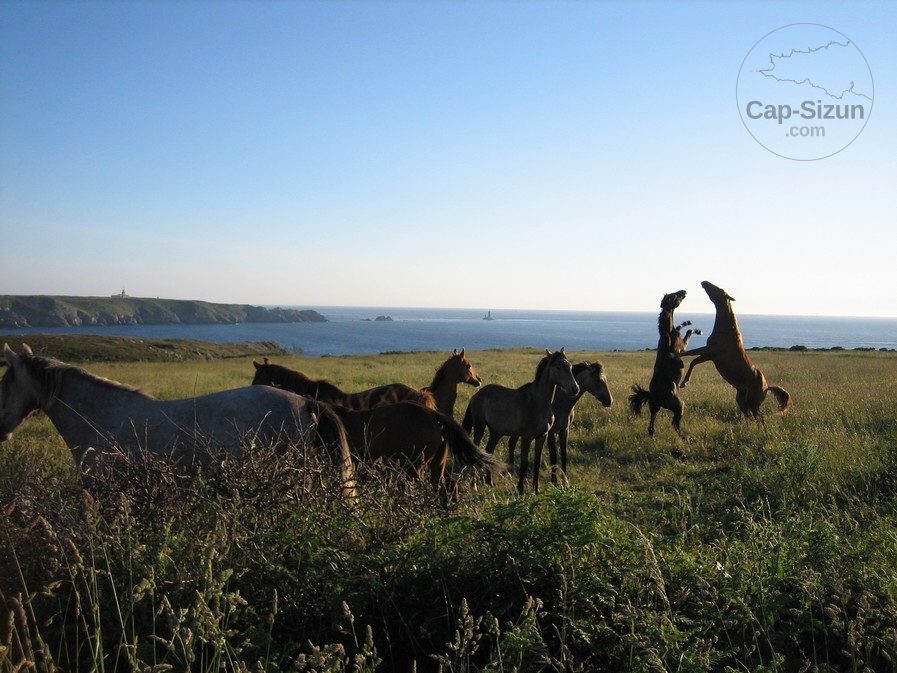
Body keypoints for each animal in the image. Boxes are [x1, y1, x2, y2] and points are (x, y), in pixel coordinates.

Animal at [462, 349, 579, 493]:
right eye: (558, 367)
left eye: (570, 366)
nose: (575, 388)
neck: (538, 403)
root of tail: (476, 395)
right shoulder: (526, 437)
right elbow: (524, 463)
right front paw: (521, 489)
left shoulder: (542, 436)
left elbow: (537, 462)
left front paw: (536, 489)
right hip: (480, 427)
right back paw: (474, 484)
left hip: (496, 432)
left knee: (489, 451)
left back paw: (489, 482)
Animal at [629, 290, 702, 438]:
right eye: (674, 296)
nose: (683, 291)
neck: (667, 332)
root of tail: (653, 395)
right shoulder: (682, 347)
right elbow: (688, 332)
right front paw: (696, 329)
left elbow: (682, 327)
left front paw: (687, 322)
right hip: (678, 405)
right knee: (675, 423)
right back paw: (687, 438)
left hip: (654, 408)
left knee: (651, 426)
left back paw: (653, 436)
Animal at [675, 281, 792, 419]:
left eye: (719, 290)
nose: (704, 282)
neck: (727, 332)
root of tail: (767, 387)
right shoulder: (709, 353)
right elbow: (692, 357)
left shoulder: (710, 352)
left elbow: (692, 358)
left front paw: (683, 381)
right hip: (742, 400)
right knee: (750, 416)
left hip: (753, 403)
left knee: (759, 418)